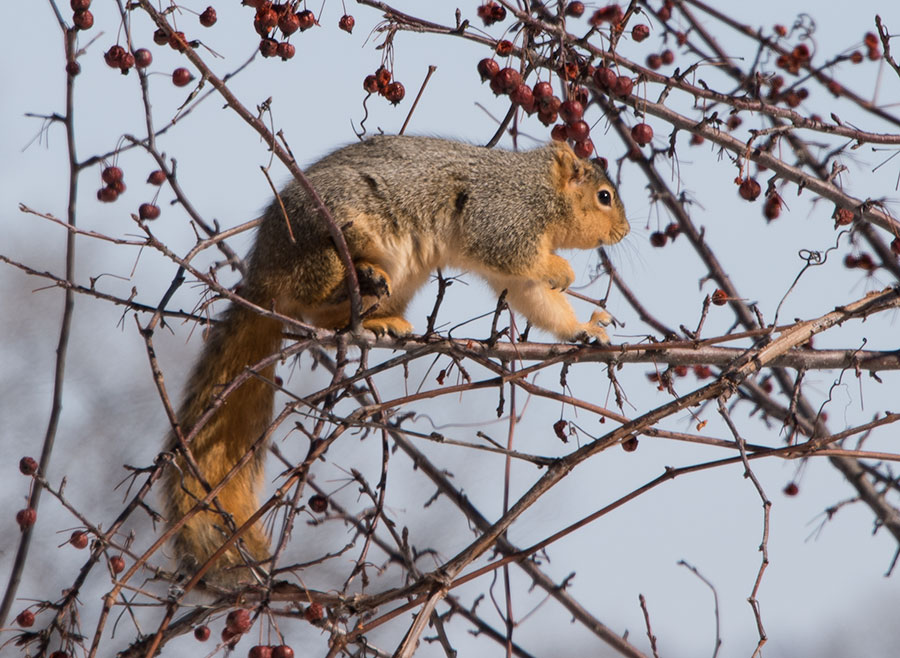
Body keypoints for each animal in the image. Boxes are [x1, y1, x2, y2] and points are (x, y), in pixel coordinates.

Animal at [162, 135, 629, 584]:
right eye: (604, 196)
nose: (624, 231)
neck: (540, 189)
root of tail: (263, 275)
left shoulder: (513, 267)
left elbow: (533, 297)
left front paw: (582, 328)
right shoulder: (502, 216)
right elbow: (516, 254)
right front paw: (563, 271)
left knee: (328, 318)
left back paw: (380, 320)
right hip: (324, 227)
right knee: (315, 283)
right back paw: (356, 271)